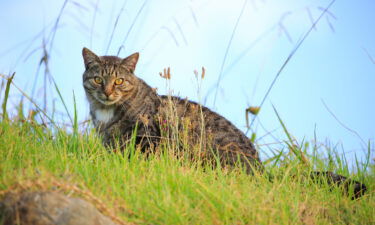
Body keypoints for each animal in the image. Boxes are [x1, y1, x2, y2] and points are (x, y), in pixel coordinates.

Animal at [82, 47, 368, 199]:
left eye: (119, 81)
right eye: (98, 79)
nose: (107, 91)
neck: (106, 112)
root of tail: (262, 171)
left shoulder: (148, 137)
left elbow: (143, 159)